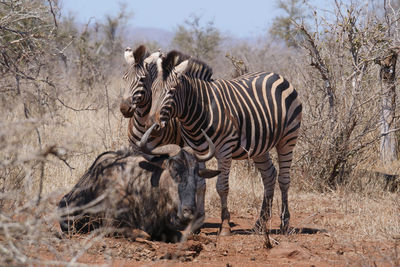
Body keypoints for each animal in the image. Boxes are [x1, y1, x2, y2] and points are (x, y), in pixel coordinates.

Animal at [145, 50, 302, 237]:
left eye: (172, 91)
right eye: (153, 91)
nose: (152, 125)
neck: (199, 112)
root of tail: (277, 75)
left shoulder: (224, 151)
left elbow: (222, 187)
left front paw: (225, 226)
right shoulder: (195, 151)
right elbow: (200, 185)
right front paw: (196, 223)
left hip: (287, 139)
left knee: (284, 179)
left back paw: (285, 223)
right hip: (259, 146)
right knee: (269, 175)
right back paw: (260, 223)